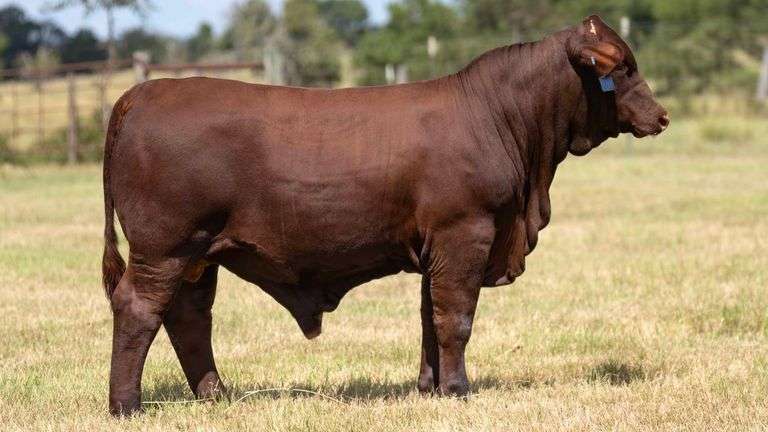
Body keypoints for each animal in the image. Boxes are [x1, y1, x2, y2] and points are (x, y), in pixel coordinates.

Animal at [102, 15, 669, 415]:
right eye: (623, 68)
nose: (661, 116)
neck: (499, 118)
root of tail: (144, 91)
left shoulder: (436, 247)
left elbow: (428, 317)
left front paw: (429, 387)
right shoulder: (466, 233)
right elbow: (455, 318)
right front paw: (459, 389)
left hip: (201, 254)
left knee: (190, 318)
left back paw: (215, 396)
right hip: (166, 247)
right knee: (139, 308)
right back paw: (126, 405)